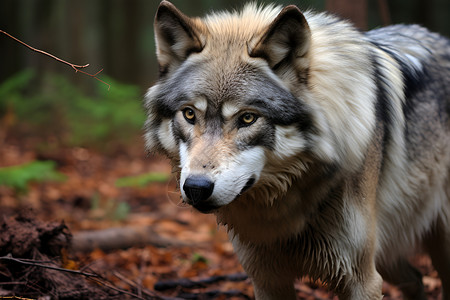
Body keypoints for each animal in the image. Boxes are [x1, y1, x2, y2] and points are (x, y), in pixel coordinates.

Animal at [144, 1, 450, 298]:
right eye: (189, 114)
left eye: (247, 118)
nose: (196, 188)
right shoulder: (266, 279)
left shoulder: (361, 280)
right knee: (416, 279)